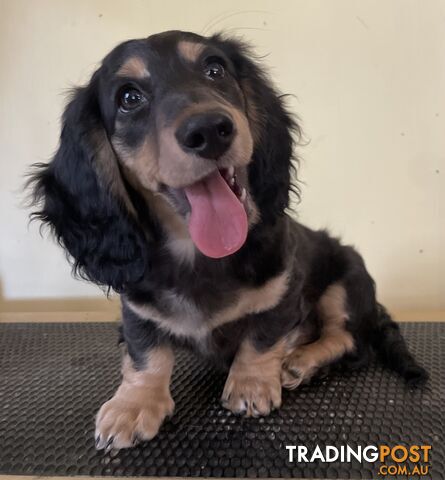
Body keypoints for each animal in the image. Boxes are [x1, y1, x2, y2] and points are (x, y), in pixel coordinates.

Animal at [28, 30, 426, 450]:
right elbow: (145, 353)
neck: (198, 255)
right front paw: (133, 403)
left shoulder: (283, 290)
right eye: (129, 97)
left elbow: (262, 338)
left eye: (215, 69)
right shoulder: (136, 309)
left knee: (349, 341)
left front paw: (251, 383)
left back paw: (301, 362)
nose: (209, 130)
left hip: (346, 280)